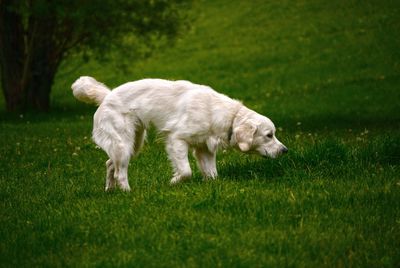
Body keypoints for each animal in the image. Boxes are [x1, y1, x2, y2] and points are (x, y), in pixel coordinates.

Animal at [72, 76, 288, 192]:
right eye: (269, 135)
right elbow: (186, 172)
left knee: (110, 164)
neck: (226, 115)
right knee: (119, 172)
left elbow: (212, 174)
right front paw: (173, 182)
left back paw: (110, 190)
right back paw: (127, 192)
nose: (285, 150)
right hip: (123, 144)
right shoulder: (177, 139)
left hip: (133, 144)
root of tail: (106, 96)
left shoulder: (204, 149)